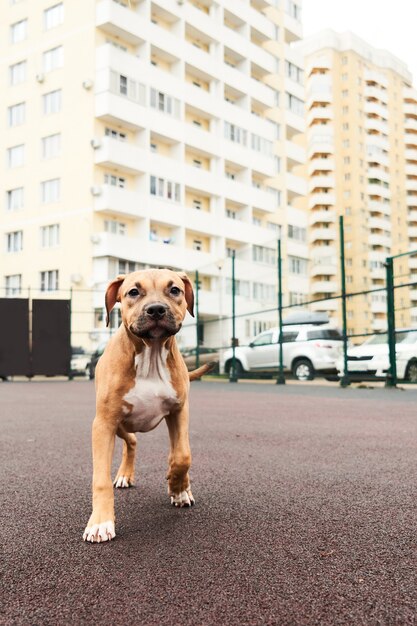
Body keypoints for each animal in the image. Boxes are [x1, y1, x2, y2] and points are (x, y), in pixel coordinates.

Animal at [83, 268, 211, 540]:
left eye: (174, 290)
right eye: (133, 292)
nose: (156, 309)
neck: (151, 356)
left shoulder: (179, 411)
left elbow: (182, 455)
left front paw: (178, 488)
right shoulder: (104, 423)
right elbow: (100, 479)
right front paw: (100, 523)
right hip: (119, 424)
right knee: (131, 441)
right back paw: (124, 475)